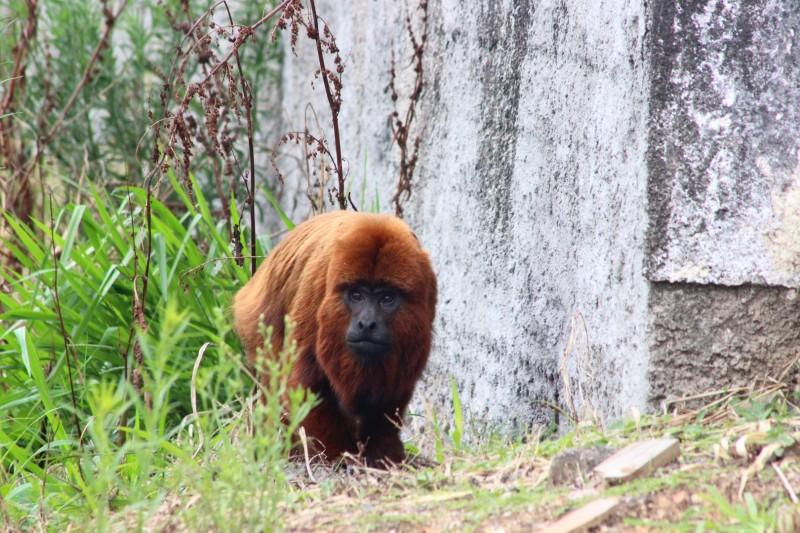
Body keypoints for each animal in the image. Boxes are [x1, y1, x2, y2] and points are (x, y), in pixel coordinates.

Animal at [233, 211, 437, 467]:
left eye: (387, 298)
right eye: (356, 295)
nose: (366, 323)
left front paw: (383, 452)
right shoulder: (316, 291)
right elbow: (307, 385)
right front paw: (339, 456)